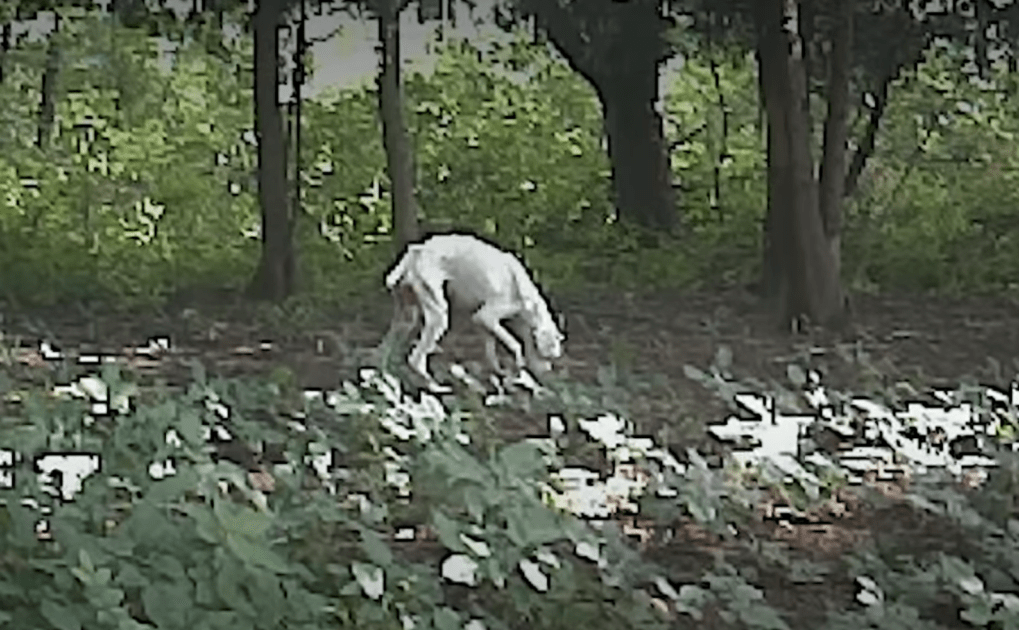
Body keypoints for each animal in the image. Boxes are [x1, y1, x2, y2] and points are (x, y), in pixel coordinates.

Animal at [385, 233, 570, 389]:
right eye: (549, 355)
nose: (549, 371)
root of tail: (417, 249)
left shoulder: (481, 323)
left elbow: (491, 351)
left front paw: (499, 372)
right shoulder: (487, 316)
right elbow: (515, 344)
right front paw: (517, 364)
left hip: (406, 316)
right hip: (438, 316)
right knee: (415, 359)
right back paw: (436, 387)